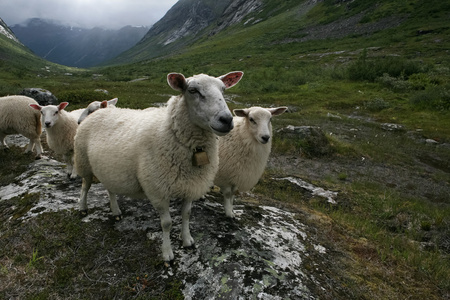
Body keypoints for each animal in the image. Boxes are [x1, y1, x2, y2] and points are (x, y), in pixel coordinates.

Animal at [74, 71, 243, 262]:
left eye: (223, 89)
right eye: (192, 90)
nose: (227, 120)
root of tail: (100, 111)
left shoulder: (189, 185)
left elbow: (186, 215)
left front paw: (187, 240)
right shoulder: (158, 189)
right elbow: (167, 223)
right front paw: (167, 253)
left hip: (109, 169)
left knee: (110, 189)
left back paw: (116, 211)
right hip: (83, 161)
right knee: (85, 186)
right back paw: (82, 208)